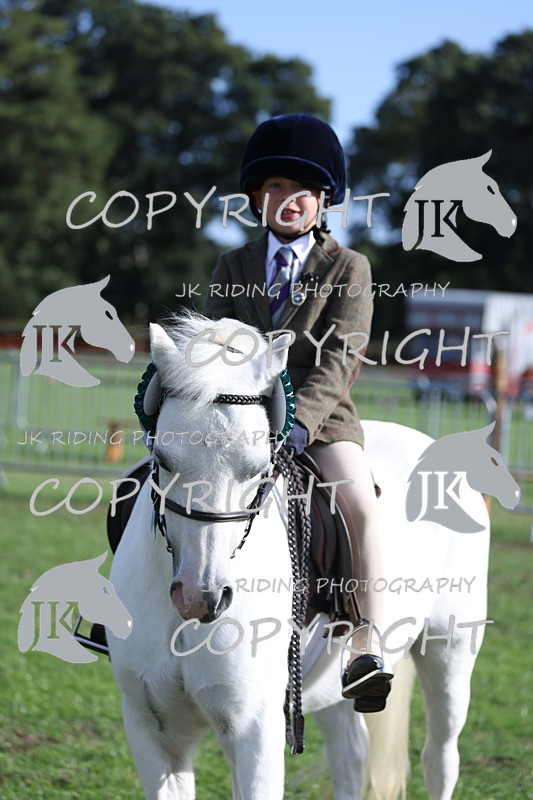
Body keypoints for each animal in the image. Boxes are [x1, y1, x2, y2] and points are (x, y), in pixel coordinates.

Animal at [107, 312, 518, 800]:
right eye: (164, 460)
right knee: (351, 753)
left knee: (439, 757)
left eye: (259, 468)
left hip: (449, 649)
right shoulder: (154, 729)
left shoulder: (254, 727)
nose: (199, 597)